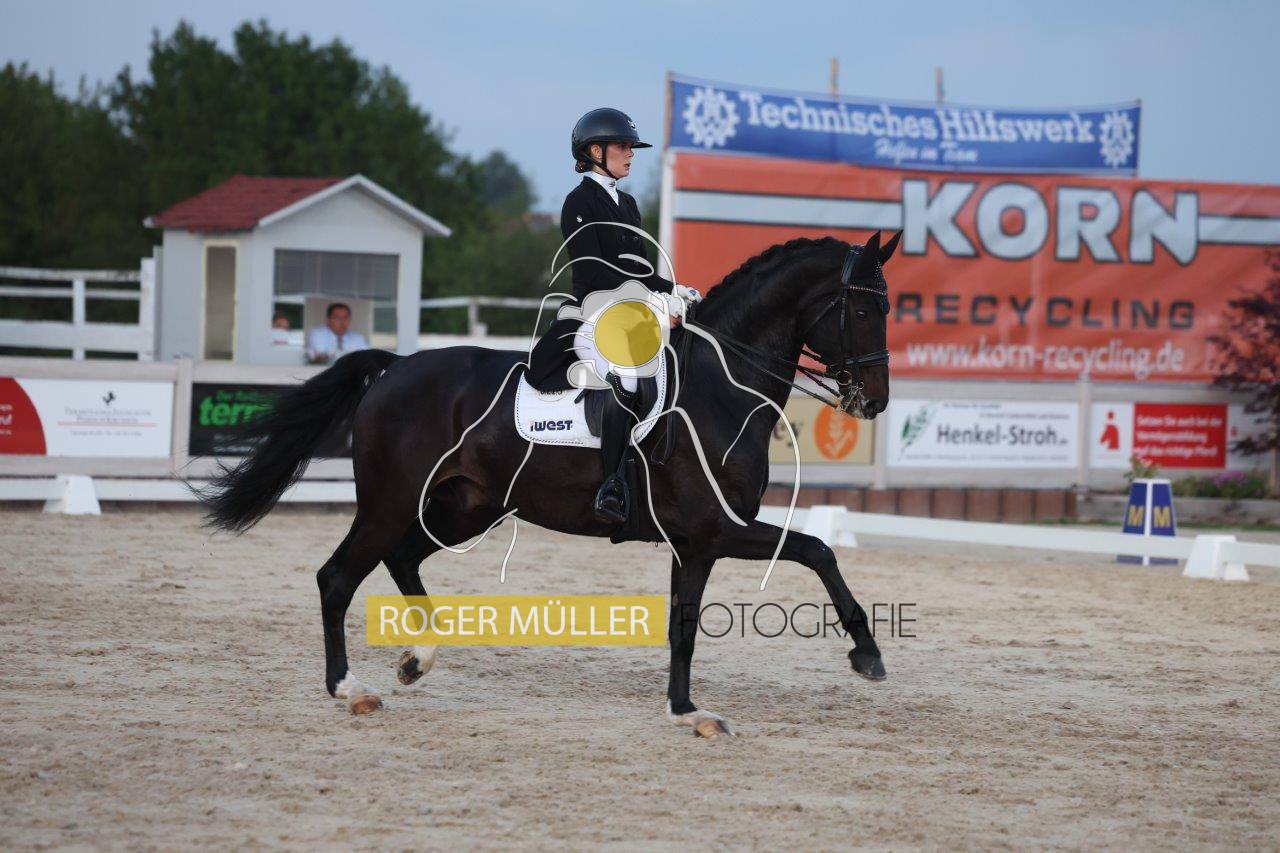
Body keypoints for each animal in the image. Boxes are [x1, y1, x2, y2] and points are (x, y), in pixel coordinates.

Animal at [199, 230, 900, 737]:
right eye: (864, 308)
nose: (874, 401)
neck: (721, 387)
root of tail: (395, 367)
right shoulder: (716, 528)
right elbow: (817, 550)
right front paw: (867, 656)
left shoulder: (698, 544)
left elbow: (686, 623)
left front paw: (686, 712)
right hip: (391, 502)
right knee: (338, 577)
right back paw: (352, 691)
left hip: (465, 507)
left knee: (401, 559)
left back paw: (417, 660)